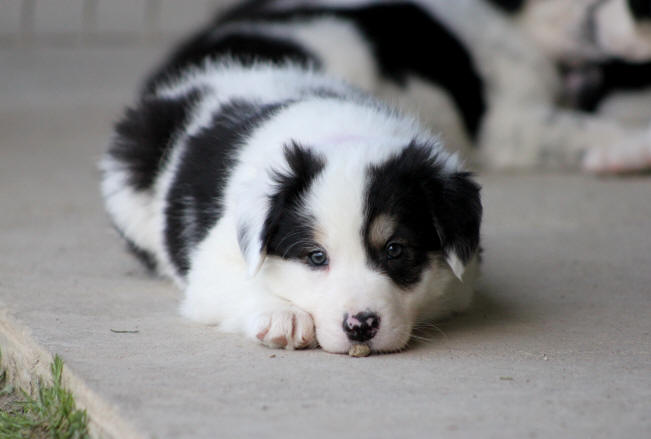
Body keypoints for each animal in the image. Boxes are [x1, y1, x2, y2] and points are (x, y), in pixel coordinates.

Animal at [102, 0, 484, 354]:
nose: (360, 326)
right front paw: (282, 317)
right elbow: (241, 282)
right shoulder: (212, 262)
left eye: (395, 250)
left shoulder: (463, 279)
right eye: (316, 257)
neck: (343, 135)